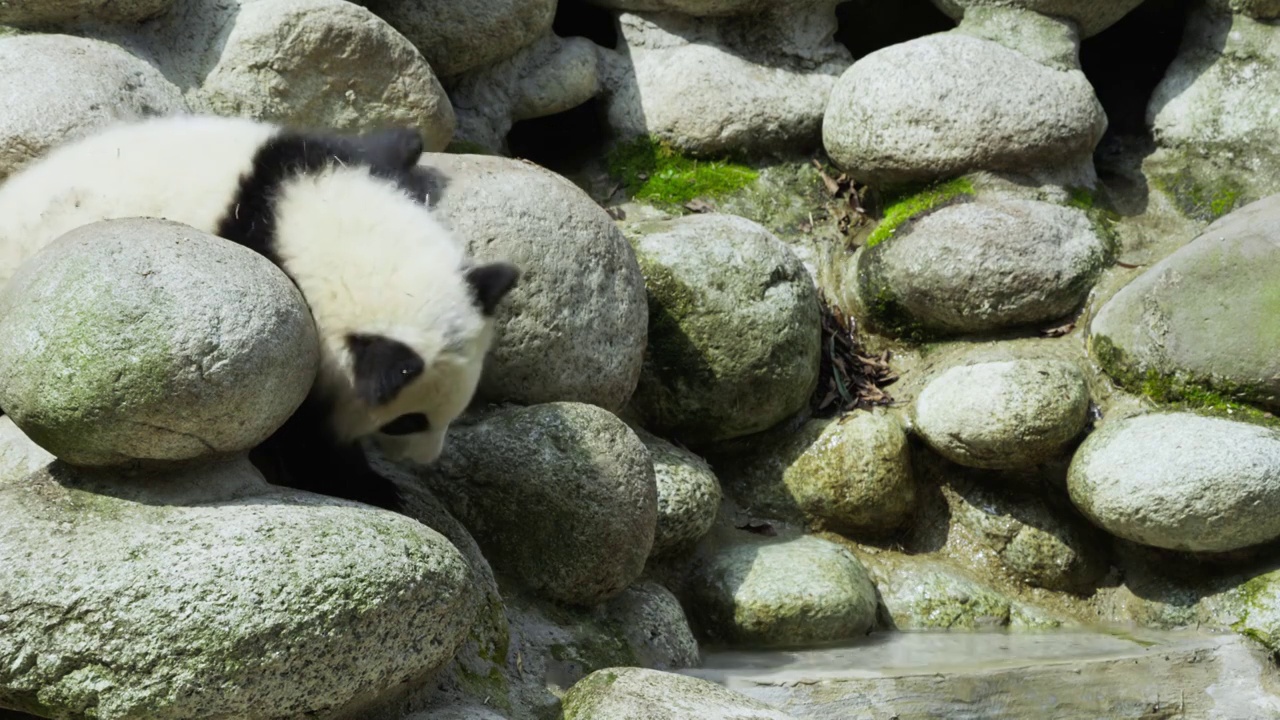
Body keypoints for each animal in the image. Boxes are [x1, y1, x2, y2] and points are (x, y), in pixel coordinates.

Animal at [0, 114, 519, 507]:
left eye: (461, 405)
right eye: (409, 420)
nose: (425, 459)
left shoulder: (305, 158)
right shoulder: (289, 322)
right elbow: (296, 431)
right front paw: (370, 485)